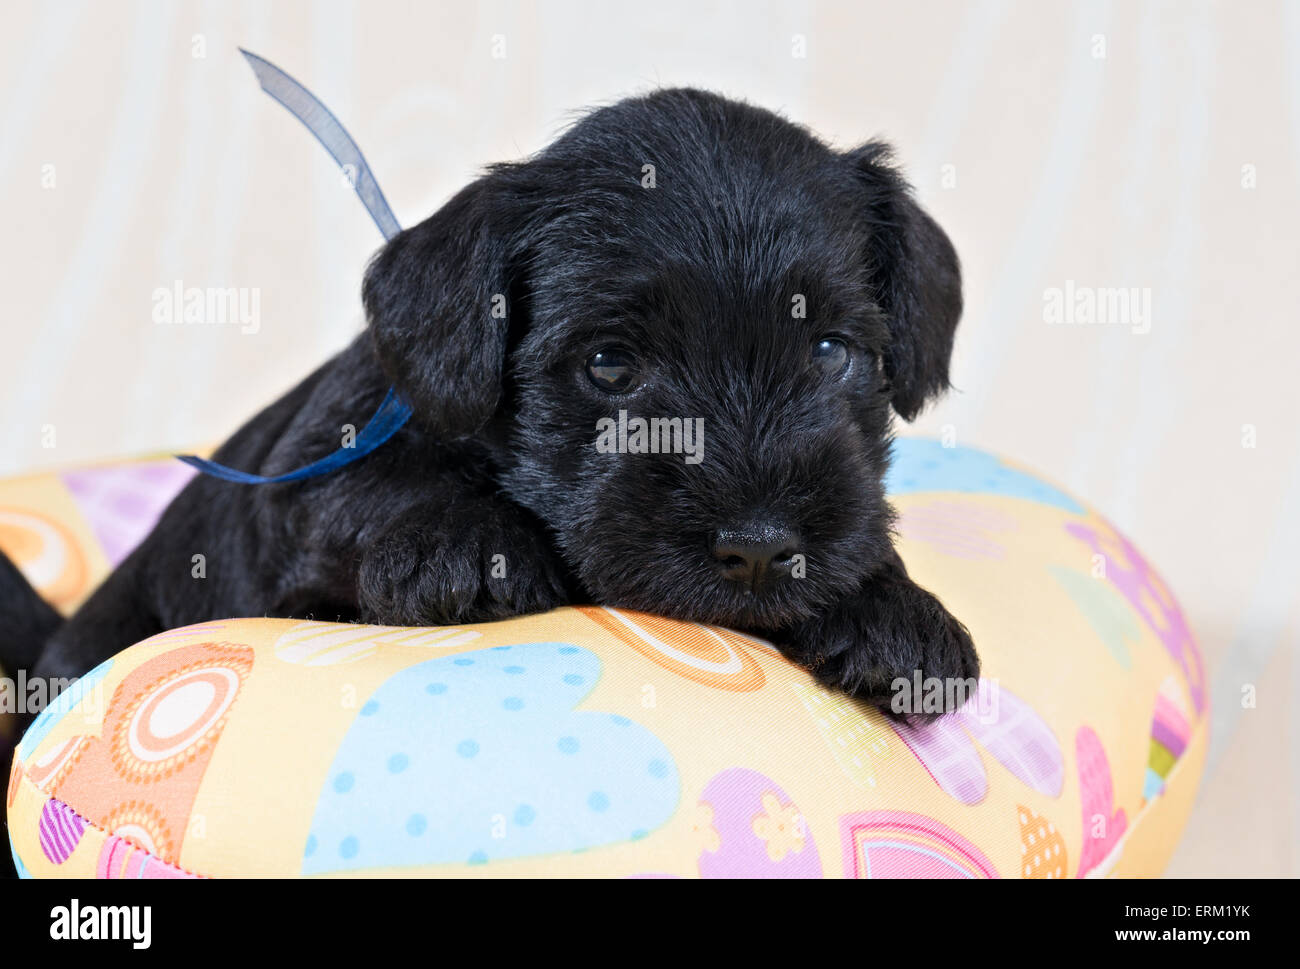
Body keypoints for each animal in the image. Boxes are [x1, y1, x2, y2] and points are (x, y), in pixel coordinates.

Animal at [2, 91, 977, 707]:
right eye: (610, 364)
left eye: (832, 351)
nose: (760, 548)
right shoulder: (315, 472)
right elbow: (363, 490)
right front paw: (467, 542)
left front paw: (898, 610)